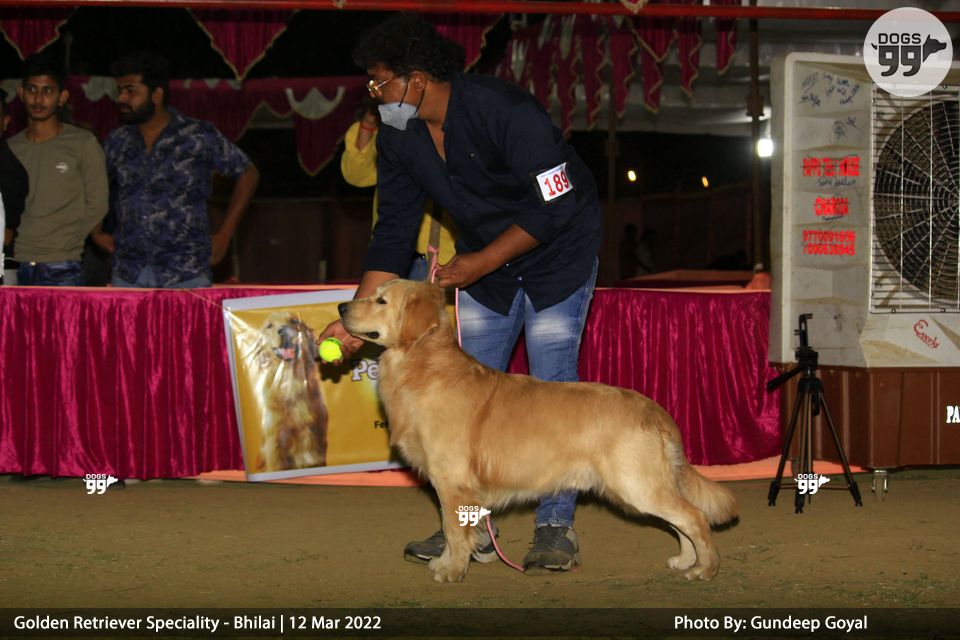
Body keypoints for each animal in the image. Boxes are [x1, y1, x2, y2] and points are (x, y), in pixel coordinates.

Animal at [252, 311, 328, 472]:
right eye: (269, 326)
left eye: (294, 321)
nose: (284, 331)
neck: (291, 382)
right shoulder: (275, 443)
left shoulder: (318, 437)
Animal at [338, 279, 738, 583]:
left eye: (381, 300)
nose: (341, 306)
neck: (423, 367)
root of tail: (656, 410)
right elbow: (457, 531)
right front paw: (448, 560)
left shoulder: (453, 481)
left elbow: (453, 530)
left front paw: (451, 571)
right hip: (643, 485)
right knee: (681, 521)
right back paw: (685, 560)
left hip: (637, 484)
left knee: (694, 517)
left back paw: (705, 568)